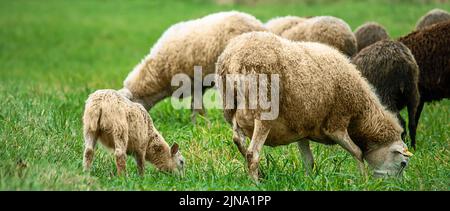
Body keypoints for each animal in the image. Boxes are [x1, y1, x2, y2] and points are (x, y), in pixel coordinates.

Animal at [121, 10, 266, 122]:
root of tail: (258, 24)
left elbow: (197, 107)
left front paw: (202, 125)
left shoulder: (193, 81)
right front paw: (196, 124)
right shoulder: (198, 85)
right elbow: (194, 106)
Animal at [216, 31, 414, 181]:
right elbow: (358, 152)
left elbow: (308, 161)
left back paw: (261, 174)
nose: (397, 186)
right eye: (403, 163)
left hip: (231, 111)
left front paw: (309, 181)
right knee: (253, 153)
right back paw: (256, 183)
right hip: (263, 111)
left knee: (238, 141)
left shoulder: (301, 128)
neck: (361, 113)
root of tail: (232, 59)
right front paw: (364, 180)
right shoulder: (336, 124)